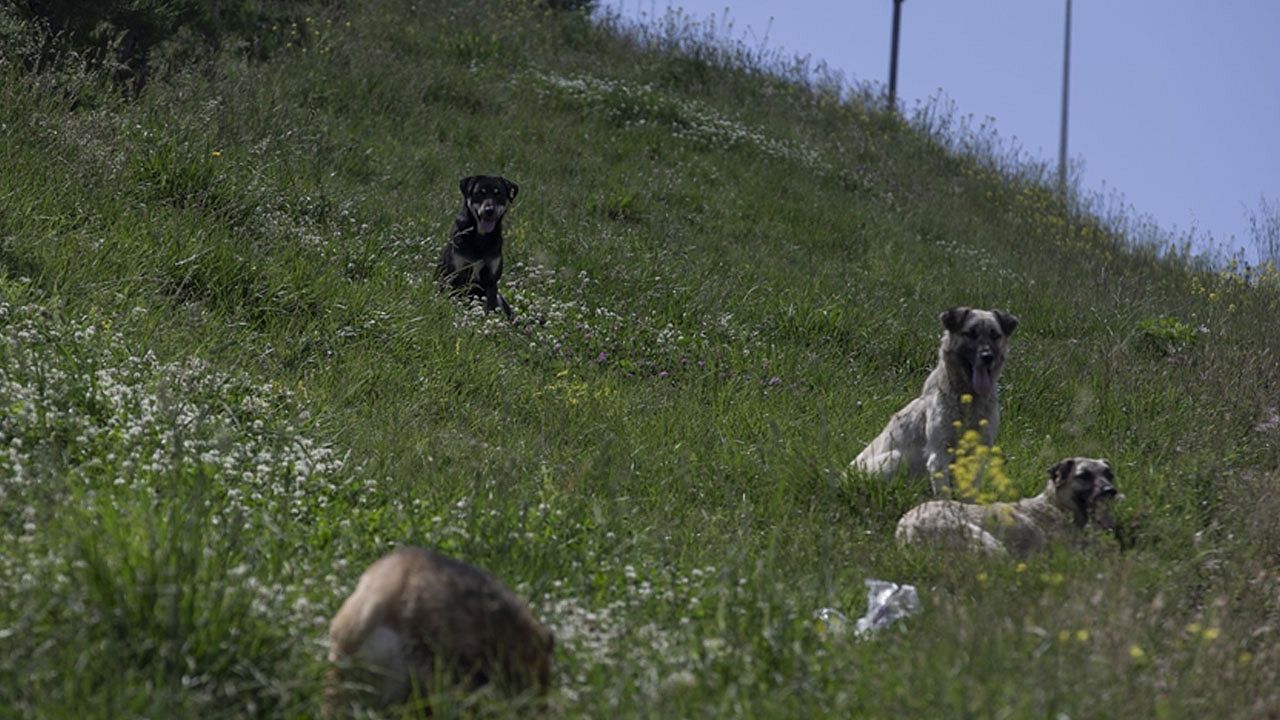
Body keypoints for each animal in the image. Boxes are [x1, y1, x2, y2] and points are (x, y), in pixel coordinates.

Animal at [437, 174, 517, 316]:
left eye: (498, 194)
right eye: (480, 193)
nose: (489, 210)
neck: (480, 238)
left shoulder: (491, 280)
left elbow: (490, 306)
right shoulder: (455, 275)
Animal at [849, 302, 1018, 491]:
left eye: (995, 335)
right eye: (970, 333)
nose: (987, 357)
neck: (969, 400)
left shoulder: (978, 455)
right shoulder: (939, 455)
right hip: (896, 457)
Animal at [890, 453, 1121, 556]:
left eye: (1109, 474)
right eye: (1084, 475)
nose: (1110, 491)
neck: (1056, 505)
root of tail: (904, 531)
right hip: (982, 538)